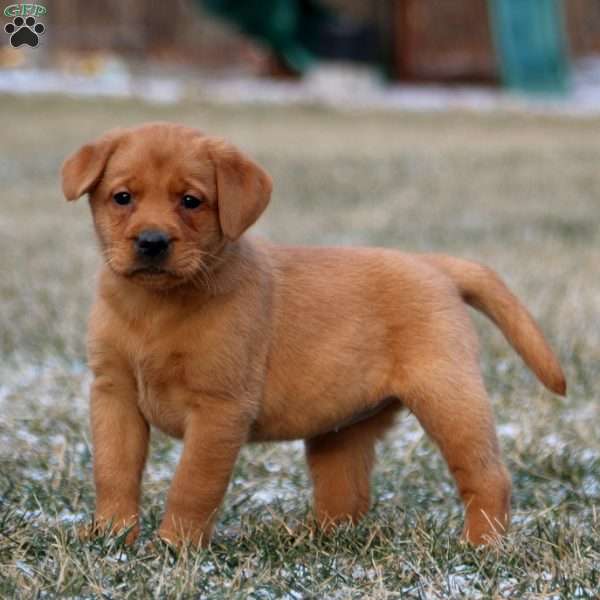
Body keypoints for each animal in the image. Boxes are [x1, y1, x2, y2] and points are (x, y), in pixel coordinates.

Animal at [63, 123, 564, 548]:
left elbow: (192, 484)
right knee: (347, 497)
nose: (151, 242)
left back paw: (481, 546)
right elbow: (114, 471)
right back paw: (312, 538)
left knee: (489, 477)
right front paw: (111, 537)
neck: (154, 310)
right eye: (122, 197)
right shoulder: (113, 393)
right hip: (342, 430)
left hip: (449, 396)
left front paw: (175, 546)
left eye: (190, 201)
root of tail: (434, 265)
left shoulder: (219, 408)